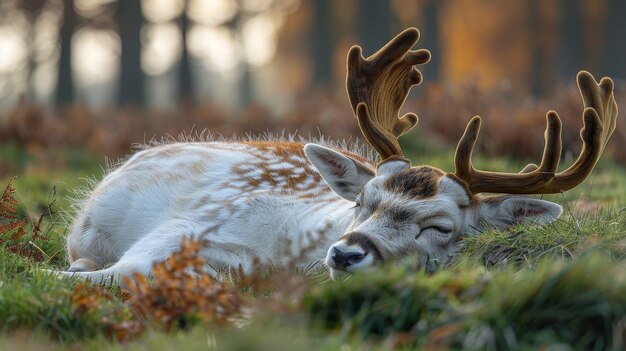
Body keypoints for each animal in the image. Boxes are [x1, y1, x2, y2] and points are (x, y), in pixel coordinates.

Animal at [56, 27, 616, 284]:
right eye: (363, 201)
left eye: (440, 227)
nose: (345, 253)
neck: (280, 252)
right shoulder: (196, 222)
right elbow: (122, 269)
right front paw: (62, 277)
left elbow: (131, 274)